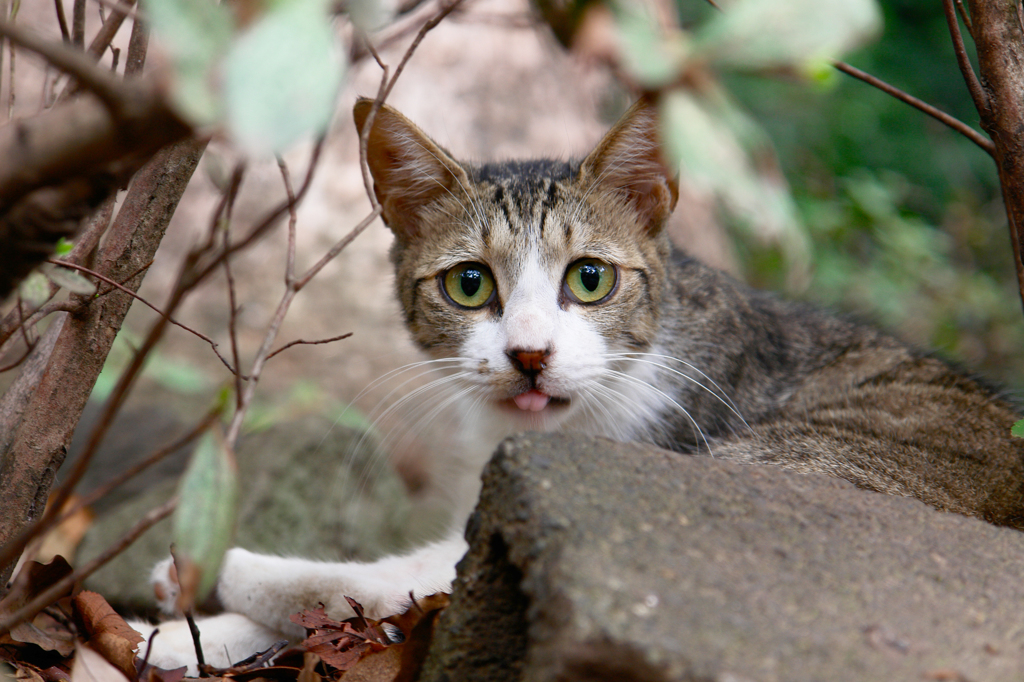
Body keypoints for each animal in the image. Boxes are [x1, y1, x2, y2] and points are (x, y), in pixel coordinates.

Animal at [132, 98, 1024, 671]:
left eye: (590, 279)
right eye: (468, 285)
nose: (528, 354)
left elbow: (404, 580)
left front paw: (206, 580)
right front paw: (183, 635)